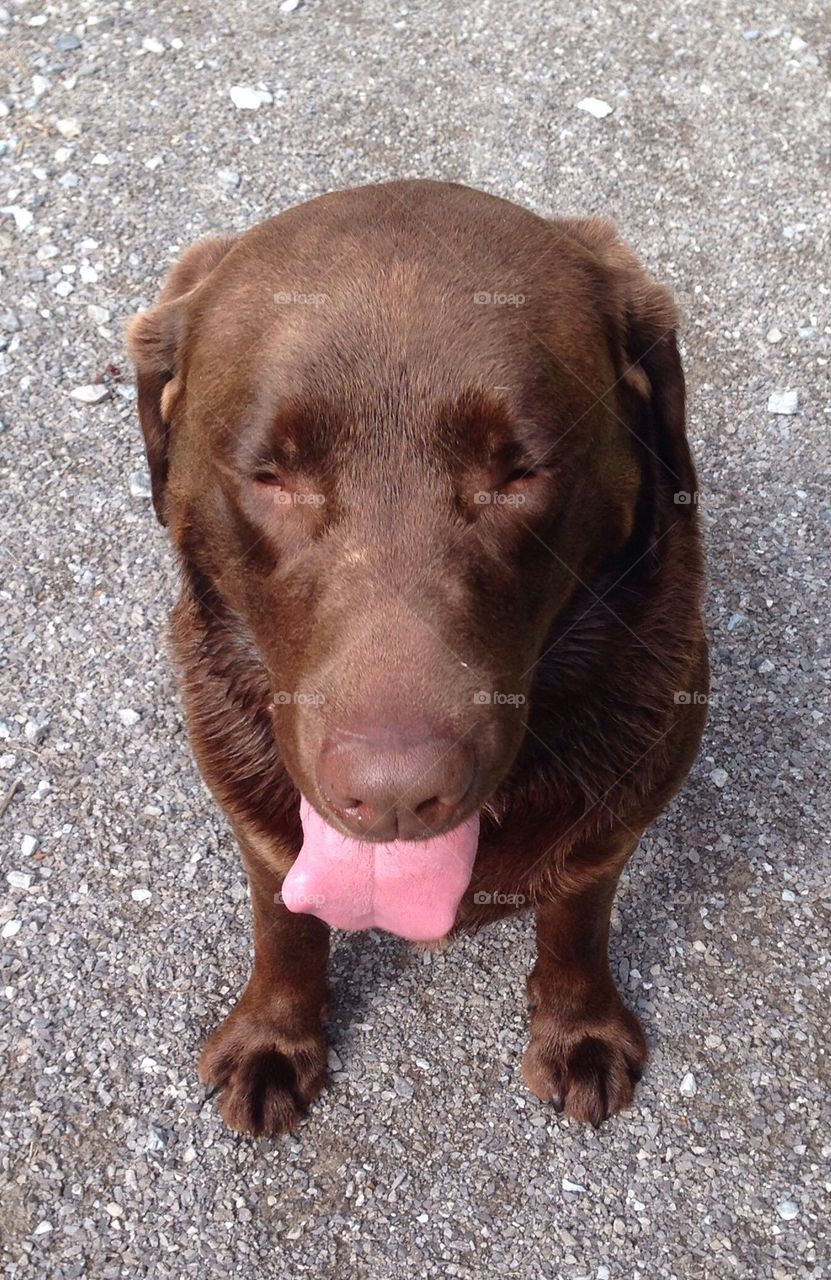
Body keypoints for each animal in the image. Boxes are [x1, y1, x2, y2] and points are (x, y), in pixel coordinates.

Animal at [128, 177, 706, 1131]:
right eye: (269, 476)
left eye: (519, 474)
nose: (395, 797)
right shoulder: (257, 810)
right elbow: (283, 918)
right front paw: (273, 1038)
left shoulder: (624, 804)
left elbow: (577, 914)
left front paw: (577, 1027)